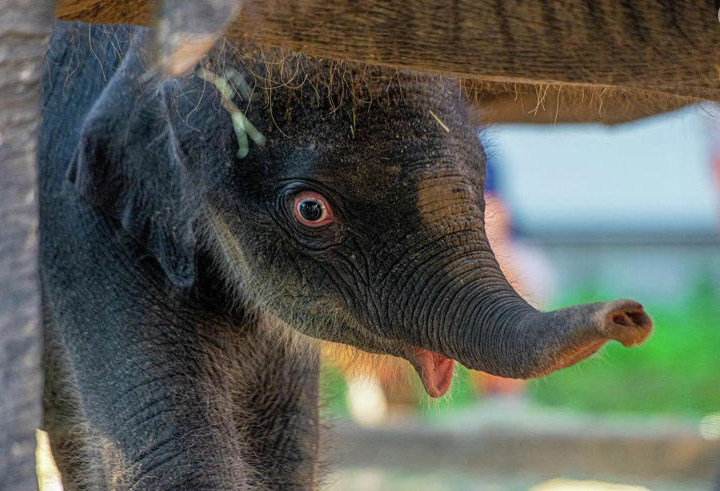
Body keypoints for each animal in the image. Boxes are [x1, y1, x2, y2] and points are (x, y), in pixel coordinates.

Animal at [2, 1, 719, 490]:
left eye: (484, 176)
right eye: (311, 210)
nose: (630, 315)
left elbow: (287, 453)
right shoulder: (85, 231)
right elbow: (169, 460)